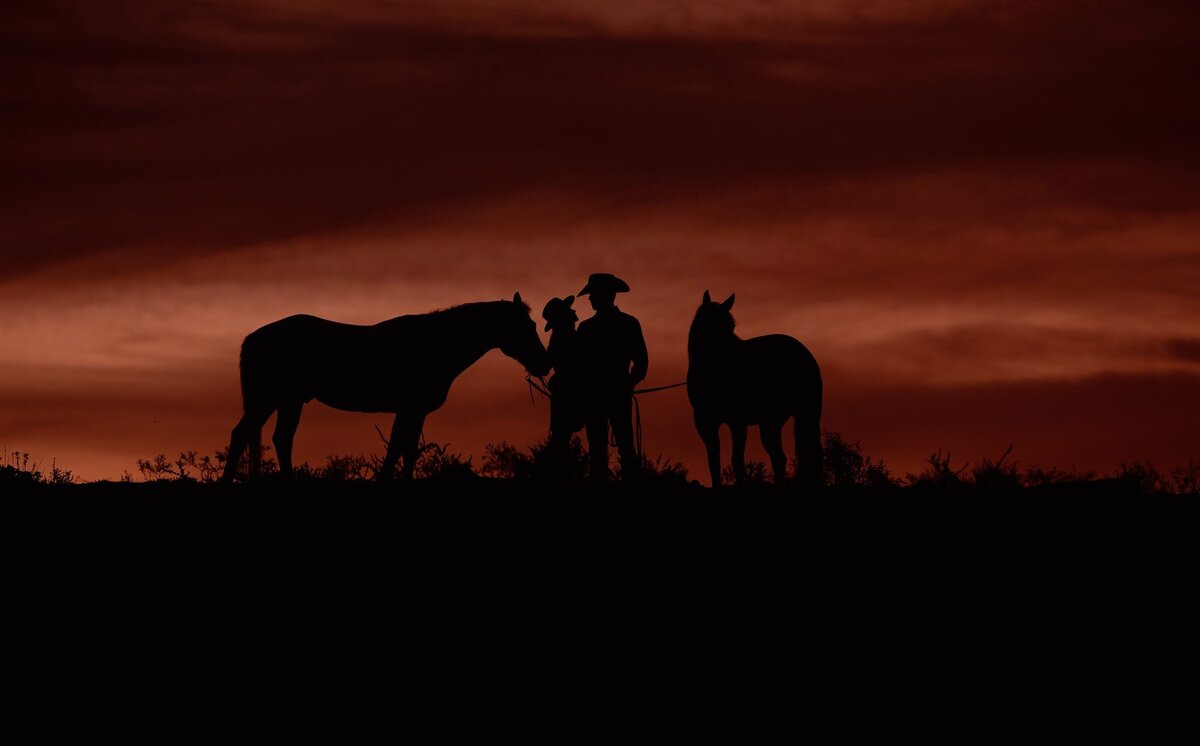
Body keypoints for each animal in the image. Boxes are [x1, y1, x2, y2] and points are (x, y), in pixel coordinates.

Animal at [220, 295, 549, 482]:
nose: (544, 364)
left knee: (240, 436)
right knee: (281, 438)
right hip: (287, 399)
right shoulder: (410, 408)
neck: (437, 344)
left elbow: (405, 450)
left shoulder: (415, 412)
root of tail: (254, 337)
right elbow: (397, 450)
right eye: (529, 326)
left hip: (266, 400)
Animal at [686, 292, 825, 491]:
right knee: (781, 458)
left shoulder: (737, 422)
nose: (731, 360)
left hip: (789, 417)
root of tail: (805, 354)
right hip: (777, 421)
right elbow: (714, 461)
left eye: (731, 326)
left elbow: (737, 461)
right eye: (711, 324)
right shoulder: (705, 423)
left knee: (786, 458)